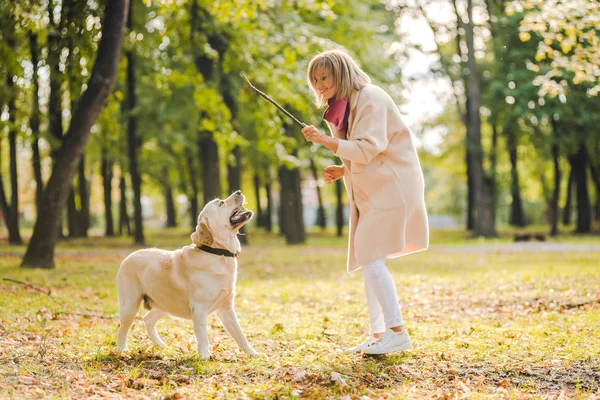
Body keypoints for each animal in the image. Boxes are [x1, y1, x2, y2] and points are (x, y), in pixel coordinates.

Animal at [116, 191, 256, 360]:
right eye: (221, 203)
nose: (239, 192)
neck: (218, 253)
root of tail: (128, 256)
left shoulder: (227, 308)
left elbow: (240, 334)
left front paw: (253, 353)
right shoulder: (199, 309)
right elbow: (203, 337)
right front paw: (205, 357)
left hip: (165, 304)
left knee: (147, 319)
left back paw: (161, 345)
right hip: (130, 305)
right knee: (121, 330)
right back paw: (122, 350)